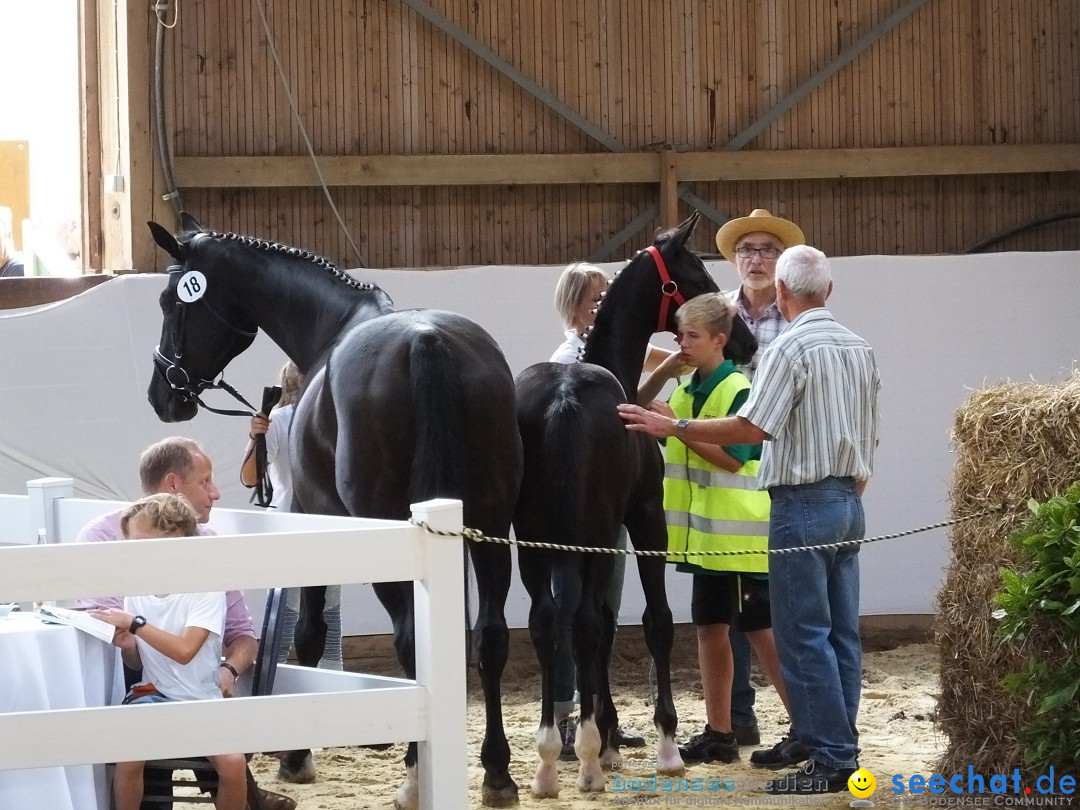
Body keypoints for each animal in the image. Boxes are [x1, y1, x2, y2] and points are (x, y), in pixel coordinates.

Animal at [146, 212, 522, 807]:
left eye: (168, 301)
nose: (163, 394)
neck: (333, 328)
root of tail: (427, 342)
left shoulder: (312, 512)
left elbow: (309, 633)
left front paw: (296, 757)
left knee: (411, 638)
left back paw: (415, 775)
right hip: (489, 523)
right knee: (490, 637)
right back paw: (497, 773)